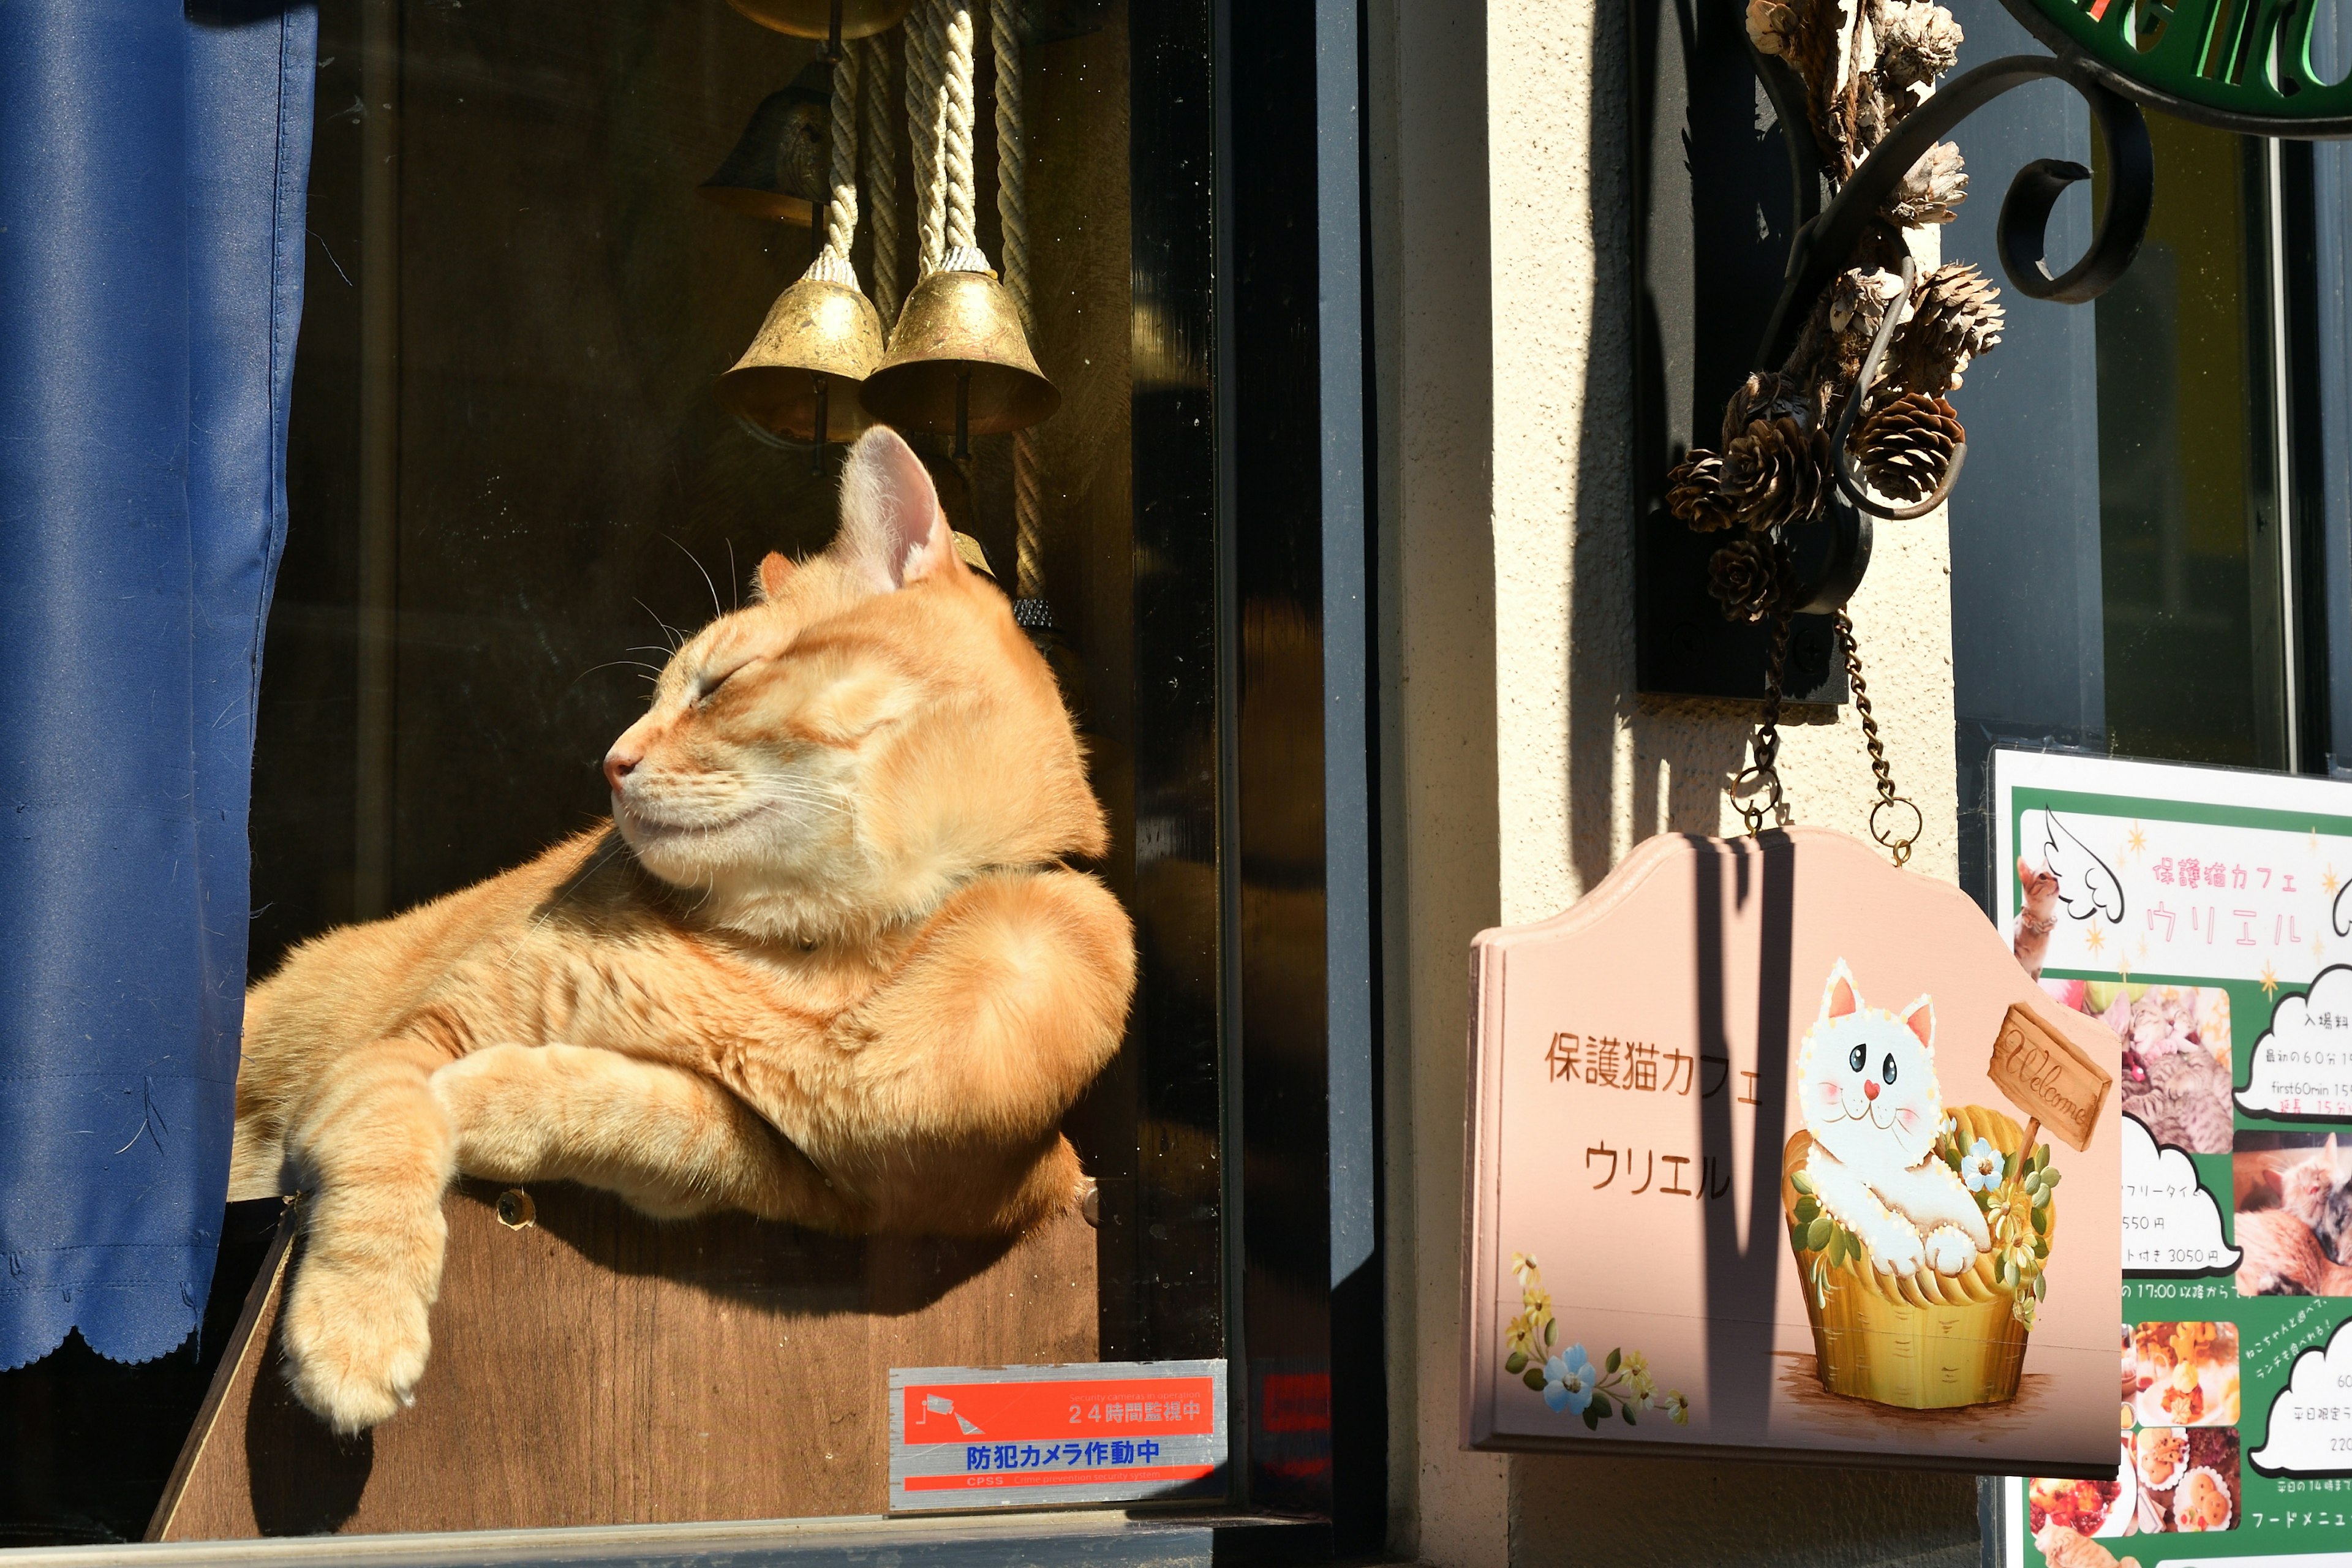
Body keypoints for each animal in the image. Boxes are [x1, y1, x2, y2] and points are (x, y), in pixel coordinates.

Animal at [229, 430, 1138, 1438]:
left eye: (720, 685)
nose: (611, 764)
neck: (816, 959)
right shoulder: (405, 1043)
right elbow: (390, 1131)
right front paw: (358, 1327)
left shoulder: (868, 1202)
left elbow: (672, 1121)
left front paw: (488, 1100)